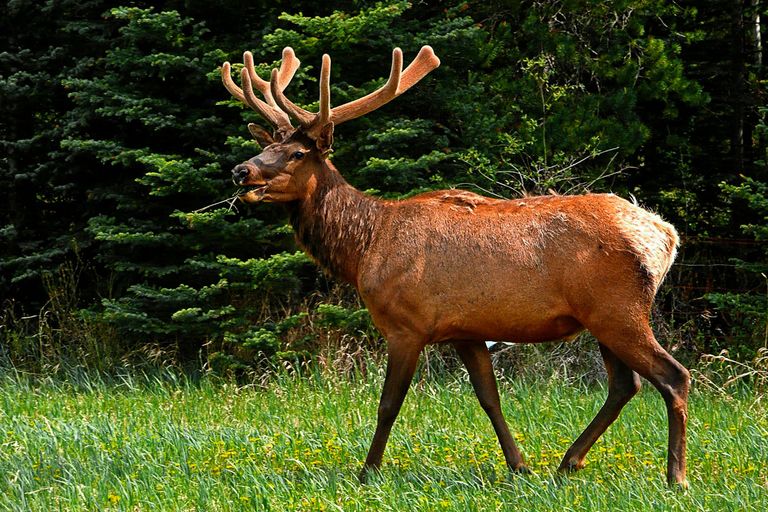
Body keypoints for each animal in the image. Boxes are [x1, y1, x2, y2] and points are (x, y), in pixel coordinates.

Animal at [220, 46, 688, 486]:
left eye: (297, 153)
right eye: (265, 146)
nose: (240, 171)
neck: (364, 248)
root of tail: (665, 236)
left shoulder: (407, 325)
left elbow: (388, 404)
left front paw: (367, 472)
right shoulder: (467, 330)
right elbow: (489, 398)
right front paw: (520, 466)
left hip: (617, 310)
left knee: (673, 375)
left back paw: (675, 476)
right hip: (602, 317)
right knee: (626, 384)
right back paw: (568, 462)